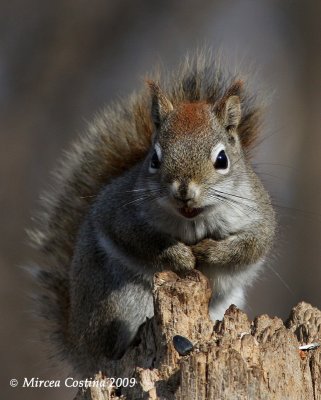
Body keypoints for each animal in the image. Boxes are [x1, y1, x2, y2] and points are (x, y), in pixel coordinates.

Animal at [29, 51, 276, 376]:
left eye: (222, 159)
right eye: (155, 159)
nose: (183, 190)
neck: (193, 218)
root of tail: (81, 351)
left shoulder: (257, 213)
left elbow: (251, 245)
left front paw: (210, 252)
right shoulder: (119, 211)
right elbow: (138, 239)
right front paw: (181, 257)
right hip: (121, 301)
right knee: (112, 348)